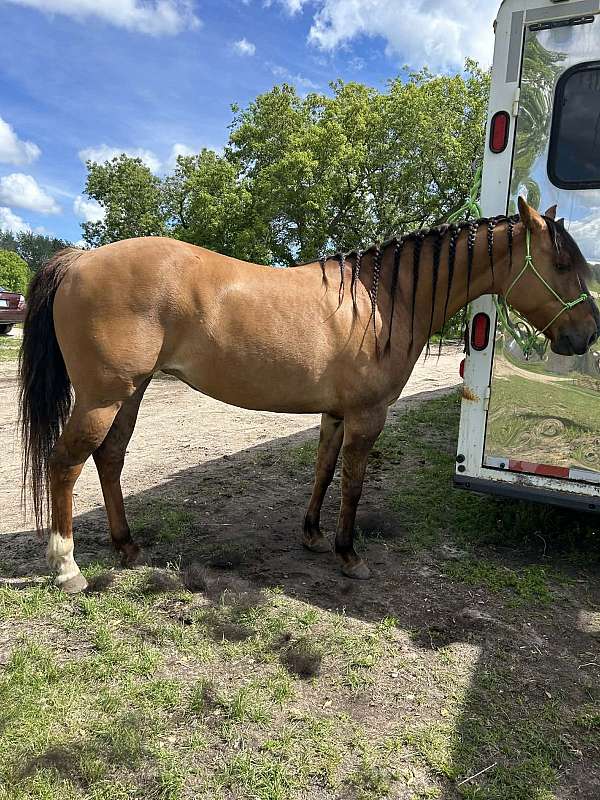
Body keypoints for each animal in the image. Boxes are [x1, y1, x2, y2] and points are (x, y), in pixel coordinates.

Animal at [18, 197, 600, 593]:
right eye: (562, 264)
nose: (588, 334)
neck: (383, 299)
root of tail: (79, 260)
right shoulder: (368, 417)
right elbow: (353, 486)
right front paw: (349, 554)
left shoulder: (335, 415)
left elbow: (323, 472)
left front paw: (313, 536)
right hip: (102, 398)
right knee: (66, 464)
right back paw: (67, 567)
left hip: (129, 393)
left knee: (110, 459)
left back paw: (127, 546)